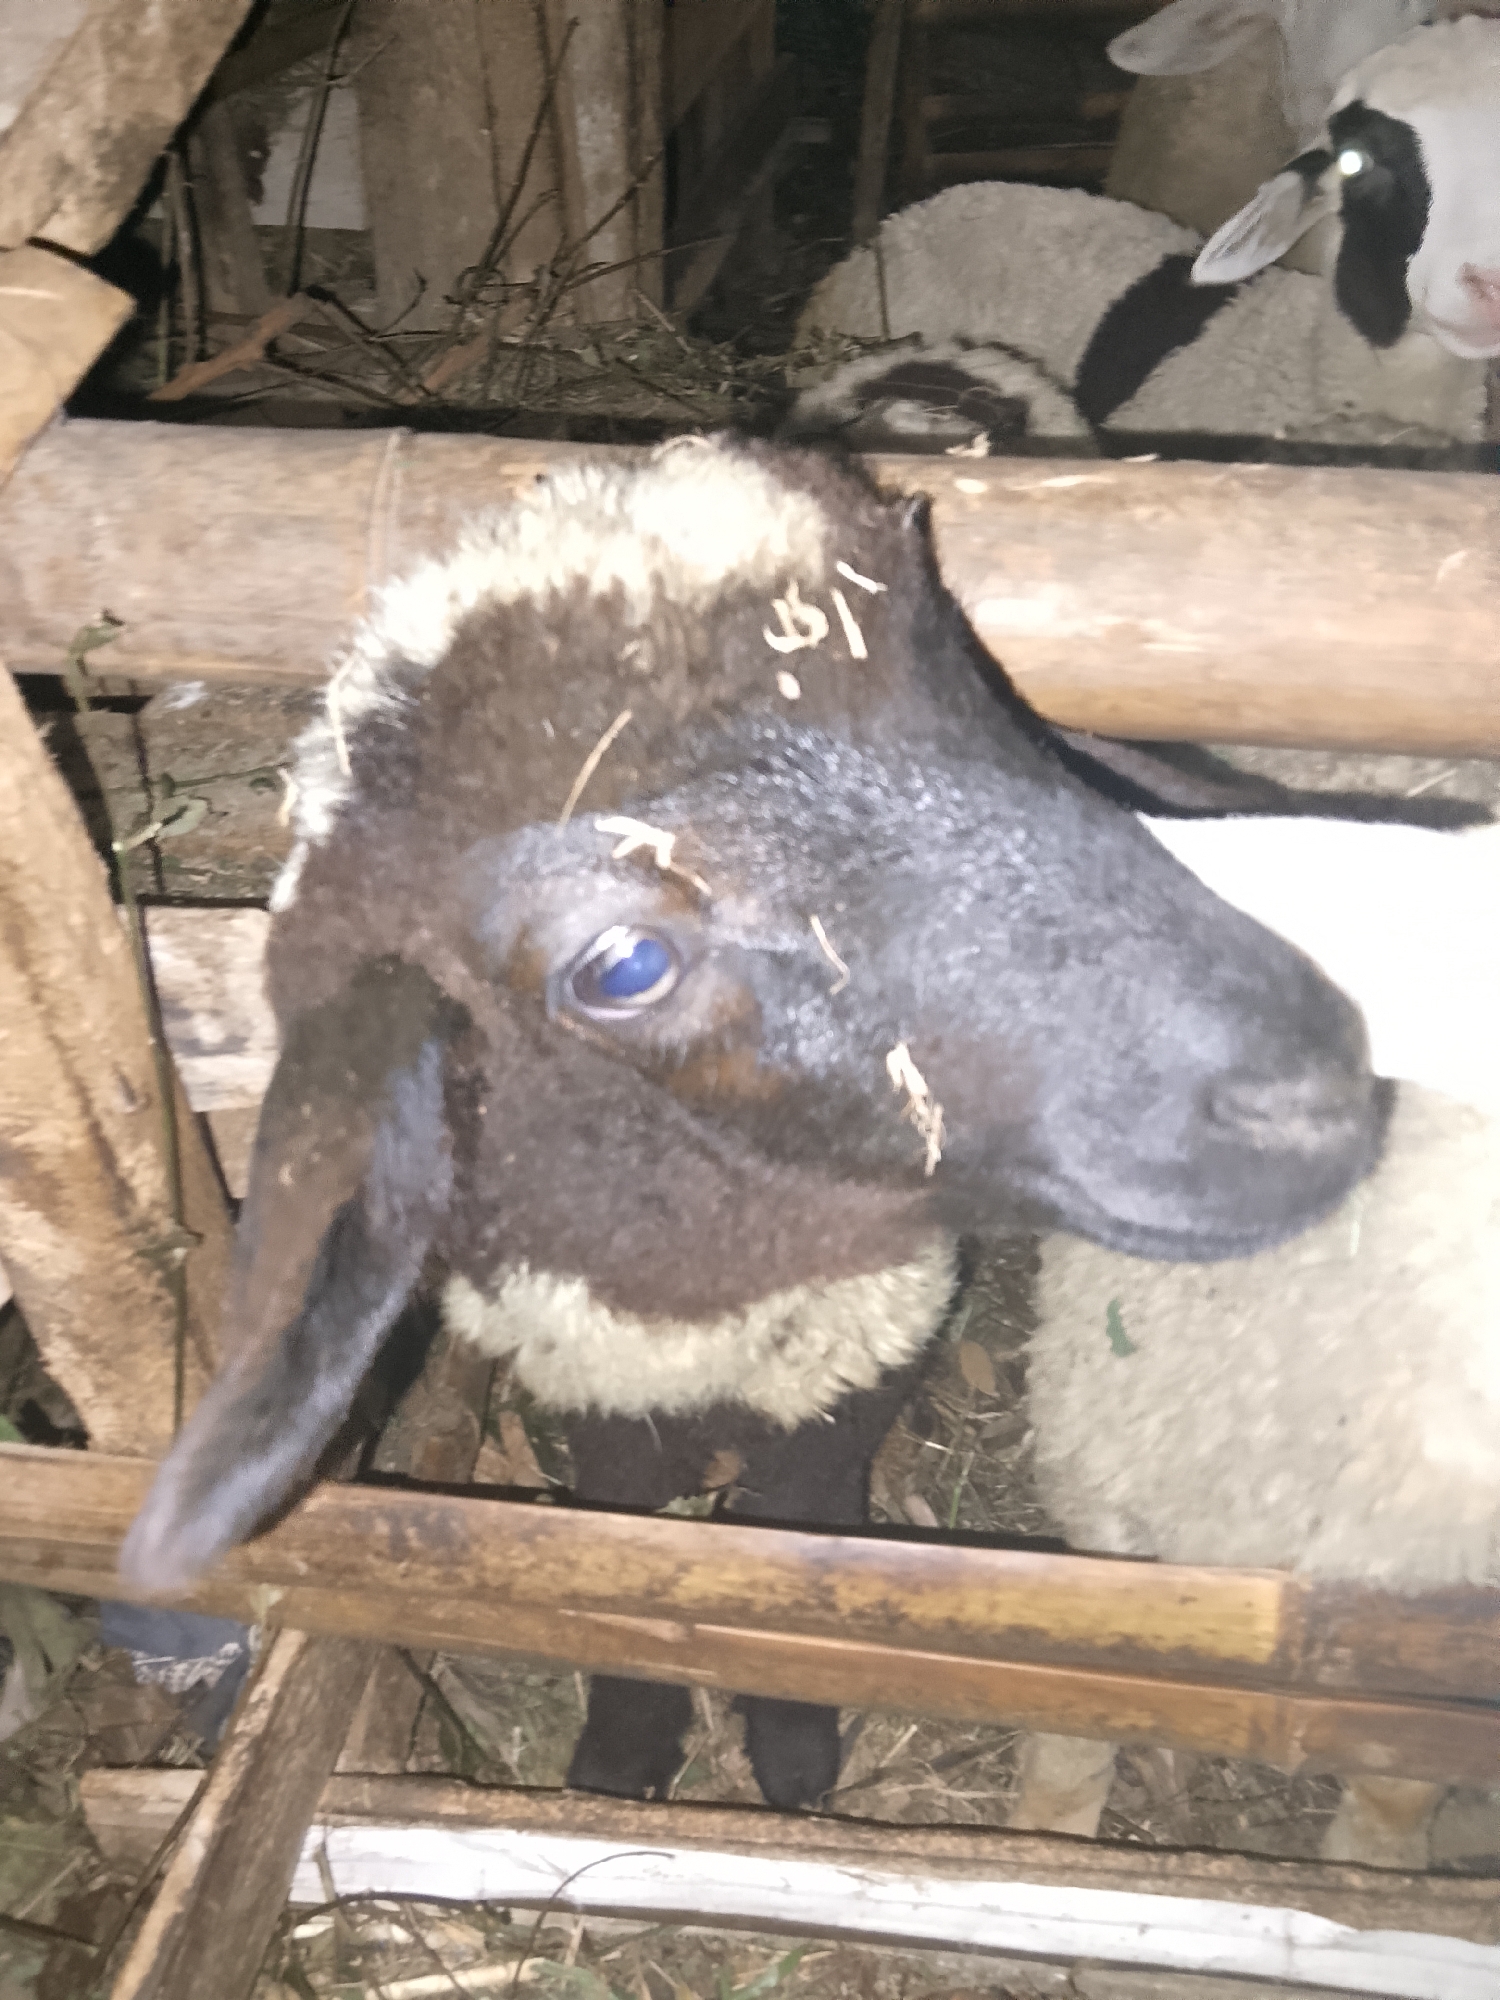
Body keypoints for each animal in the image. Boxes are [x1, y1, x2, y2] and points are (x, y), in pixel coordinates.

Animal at [116, 436, 1389, 1811]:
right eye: (623, 965)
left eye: (976, 695)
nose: (1314, 1077)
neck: (712, 1332)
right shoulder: (596, 1396)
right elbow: (620, 1561)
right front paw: (623, 1750)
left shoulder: (848, 1390)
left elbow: (802, 1559)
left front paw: (789, 1747)